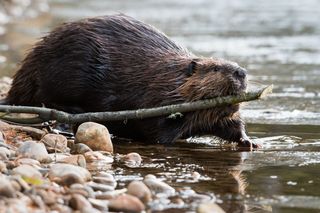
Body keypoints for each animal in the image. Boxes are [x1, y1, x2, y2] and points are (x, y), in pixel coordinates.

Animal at [3, 14, 258, 148]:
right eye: (215, 68)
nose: (241, 72)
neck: (171, 78)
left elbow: (232, 124)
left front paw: (249, 142)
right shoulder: (155, 98)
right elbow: (156, 129)